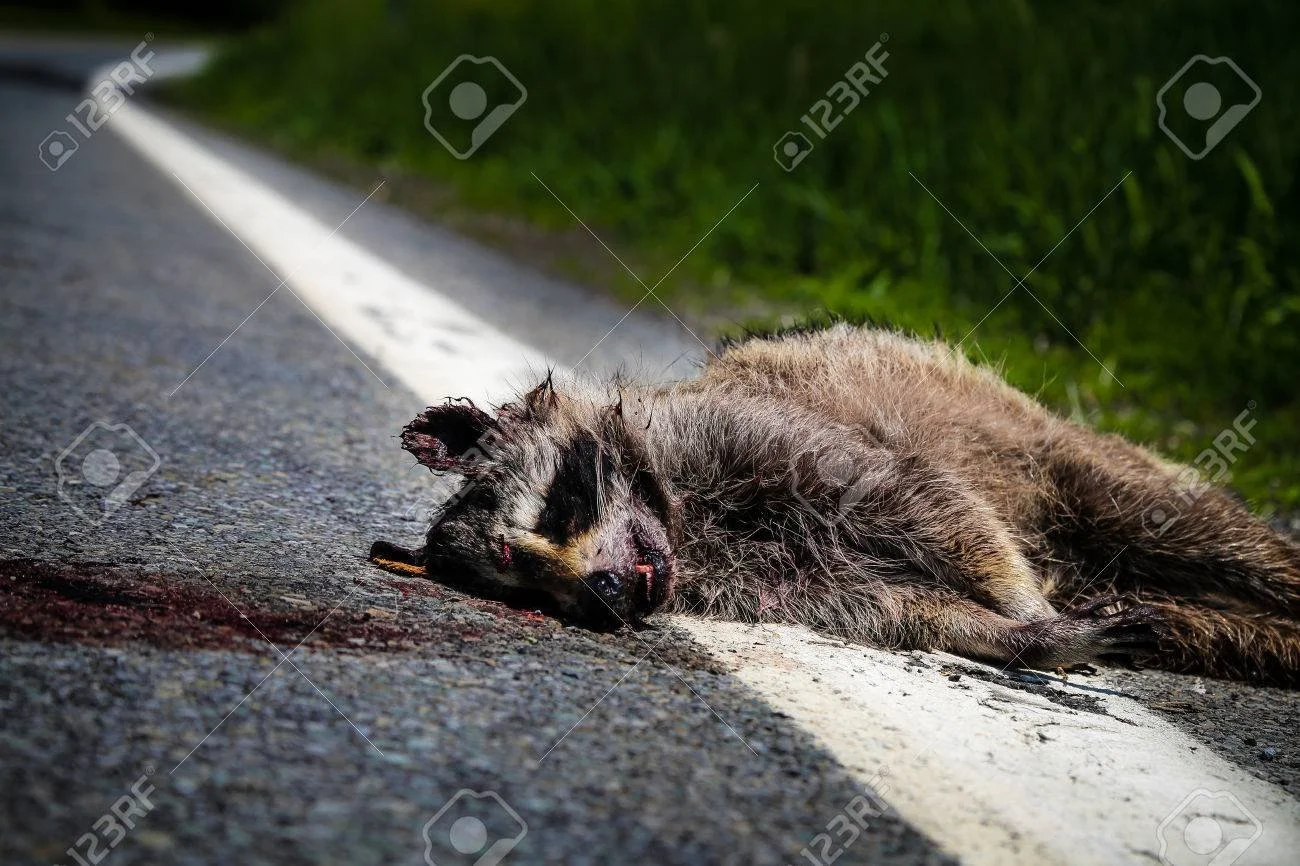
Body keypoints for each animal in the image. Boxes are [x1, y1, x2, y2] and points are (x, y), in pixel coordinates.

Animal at [372, 324, 1300, 686]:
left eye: (558, 515)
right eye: (532, 589)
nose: (600, 595)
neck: (679, 517)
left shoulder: (768, 436)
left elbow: (934, 503)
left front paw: (1024, 604)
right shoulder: (768, 577)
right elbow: (897, 605)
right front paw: (1024, 633)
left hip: (1061, 452)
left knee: (1190, 527)